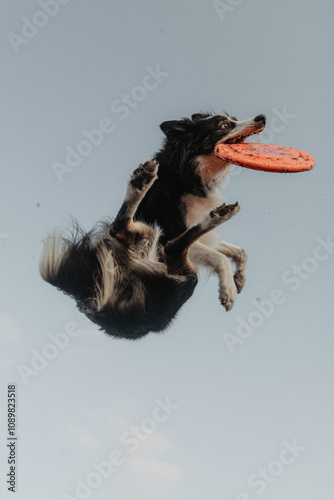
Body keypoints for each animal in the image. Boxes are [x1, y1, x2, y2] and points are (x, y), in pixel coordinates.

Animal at [39, 113, 266, 340]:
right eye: (225, 125)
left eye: (233, 118)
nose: (261, 118)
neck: (187, 172)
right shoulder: (172, 231)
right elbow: (219, 257)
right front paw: (229, 291)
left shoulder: (200, 238)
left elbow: (240, 251)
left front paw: (240, 279)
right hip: (180, 272)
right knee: (169, 246)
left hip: (147, 236)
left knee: (121, 228)